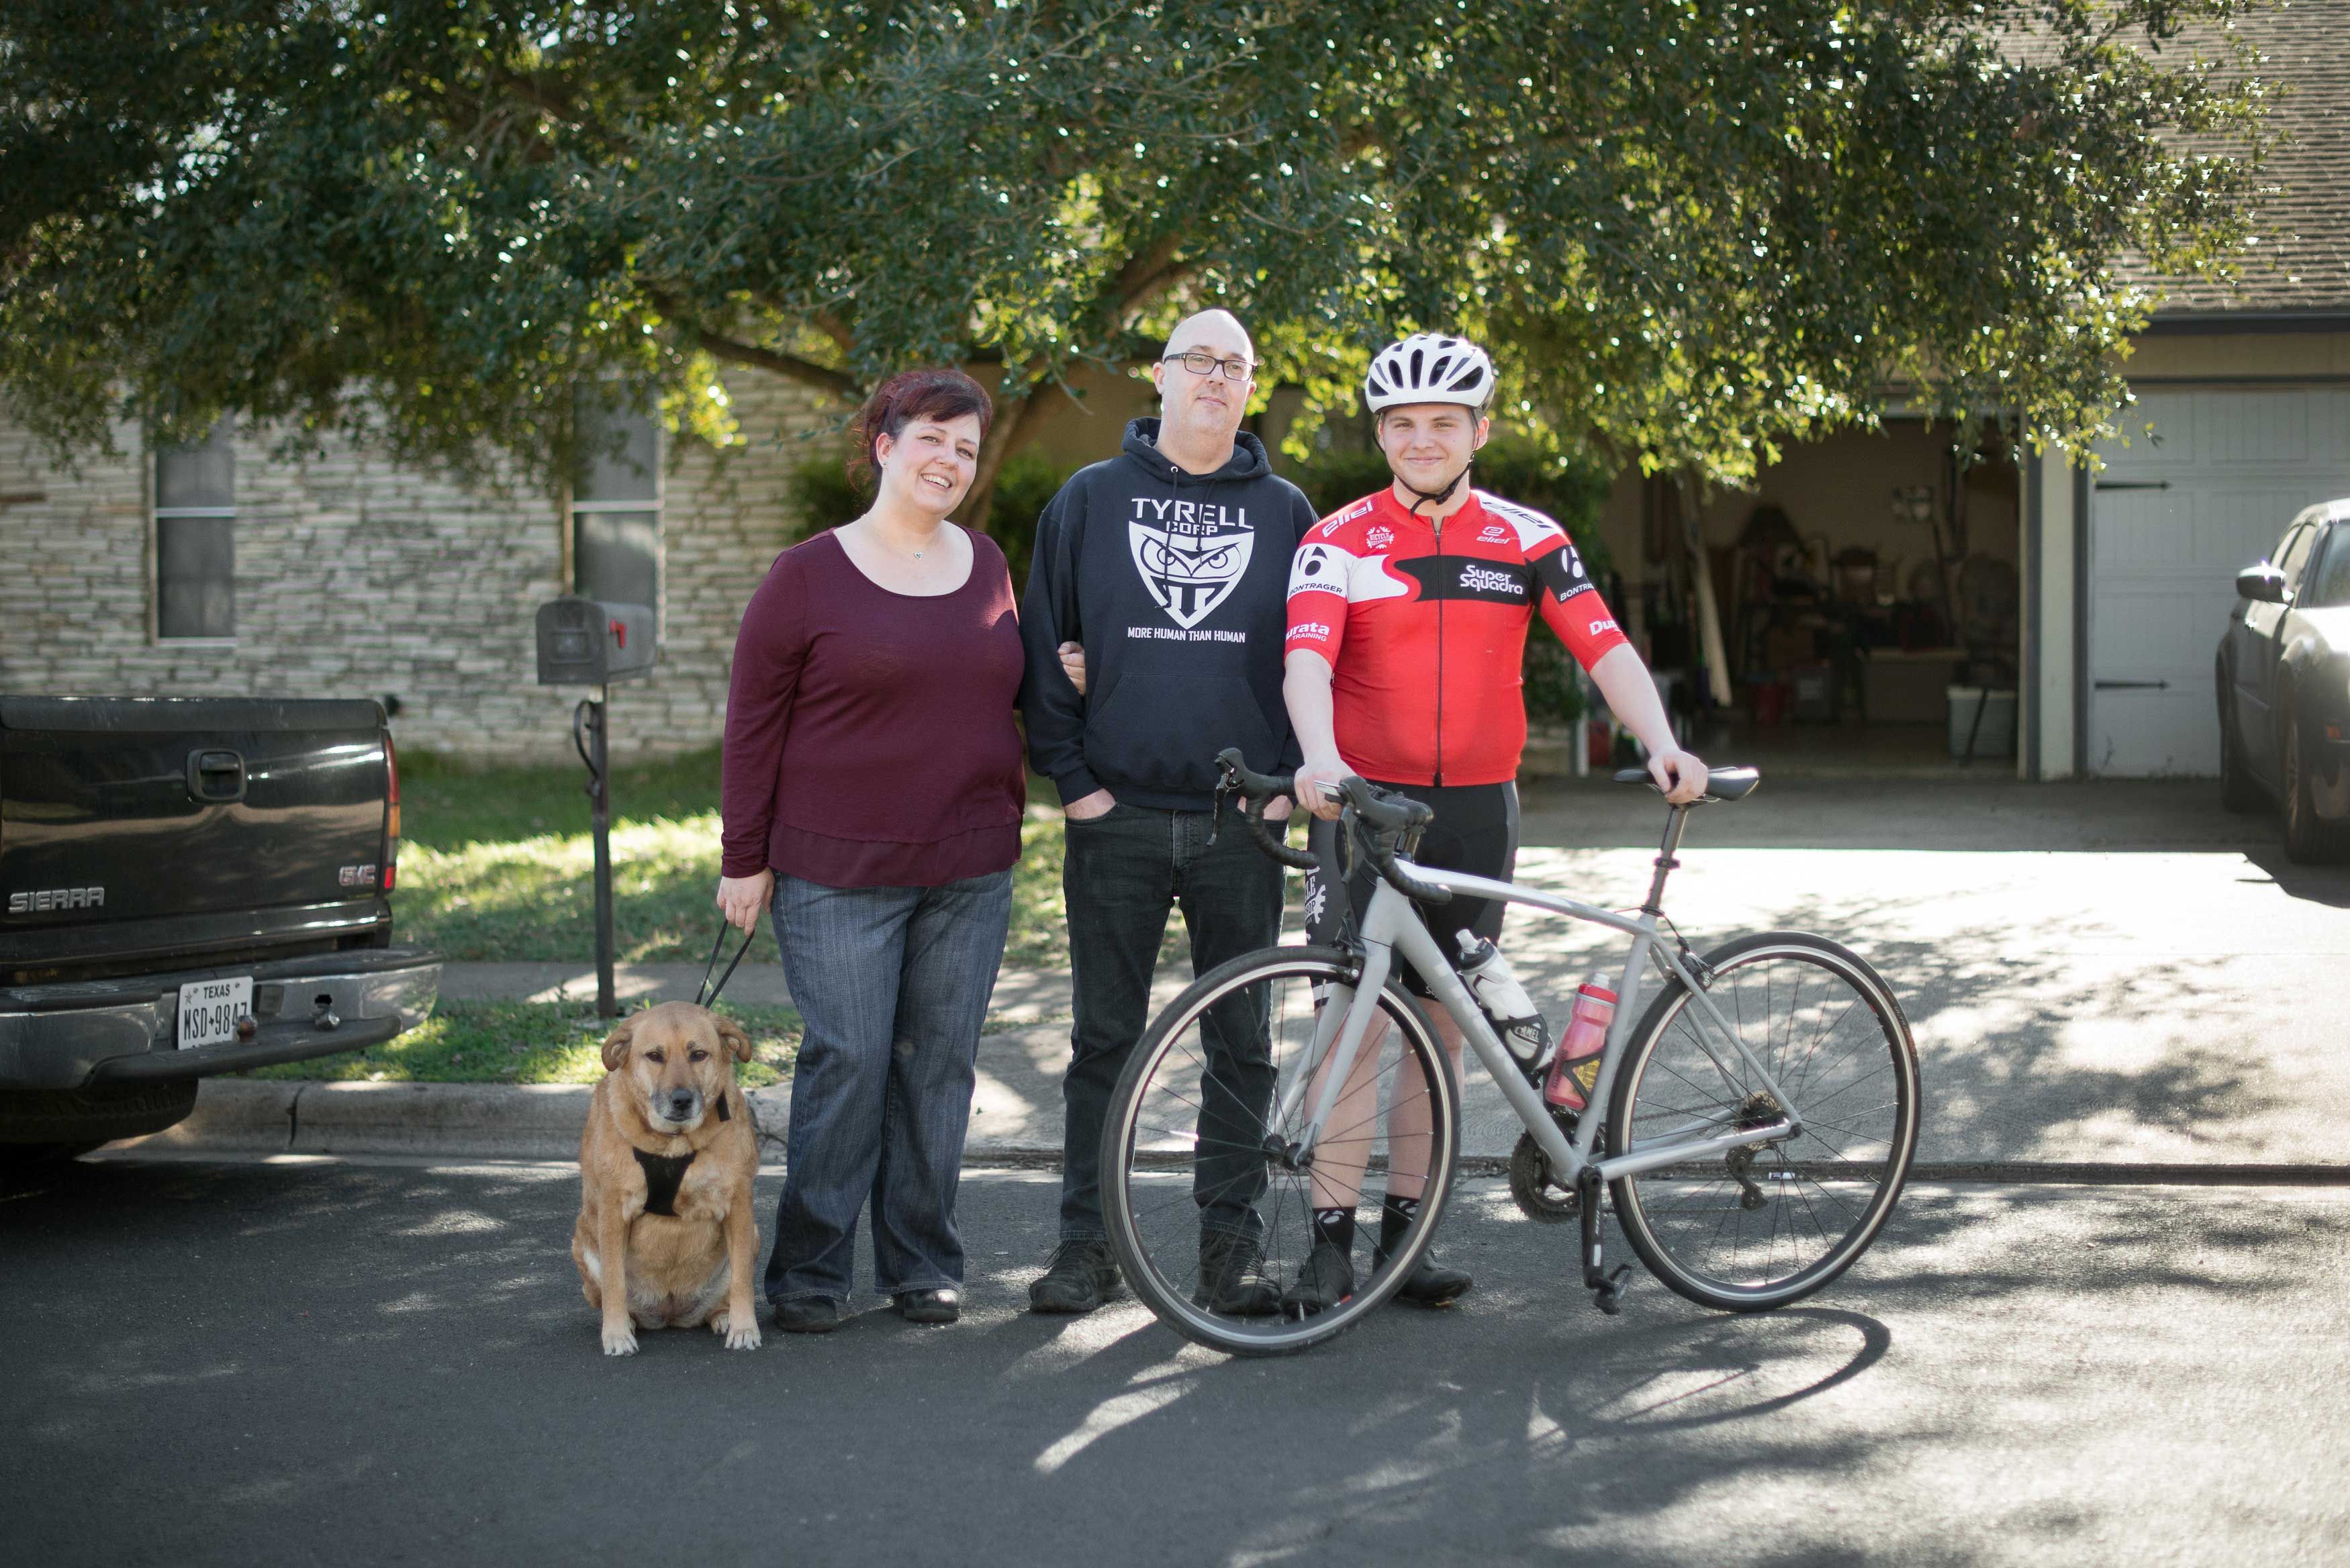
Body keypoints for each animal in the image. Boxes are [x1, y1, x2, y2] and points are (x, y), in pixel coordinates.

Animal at [571, 1001, 761, 1354]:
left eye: (698, 1054)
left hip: (753, 1236)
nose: (682, 1100)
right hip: (584, 1245)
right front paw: (616, 1333)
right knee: (613, 1294)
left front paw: (744, 1328)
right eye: (654, 1056)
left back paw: (723, 1317)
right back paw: (628, 1322)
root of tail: (670, 1314)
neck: (674, 1145)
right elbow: (615, 1283)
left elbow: (743, 1279)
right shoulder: (613, 1211)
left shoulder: (739, 1204)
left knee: (722, 1297)